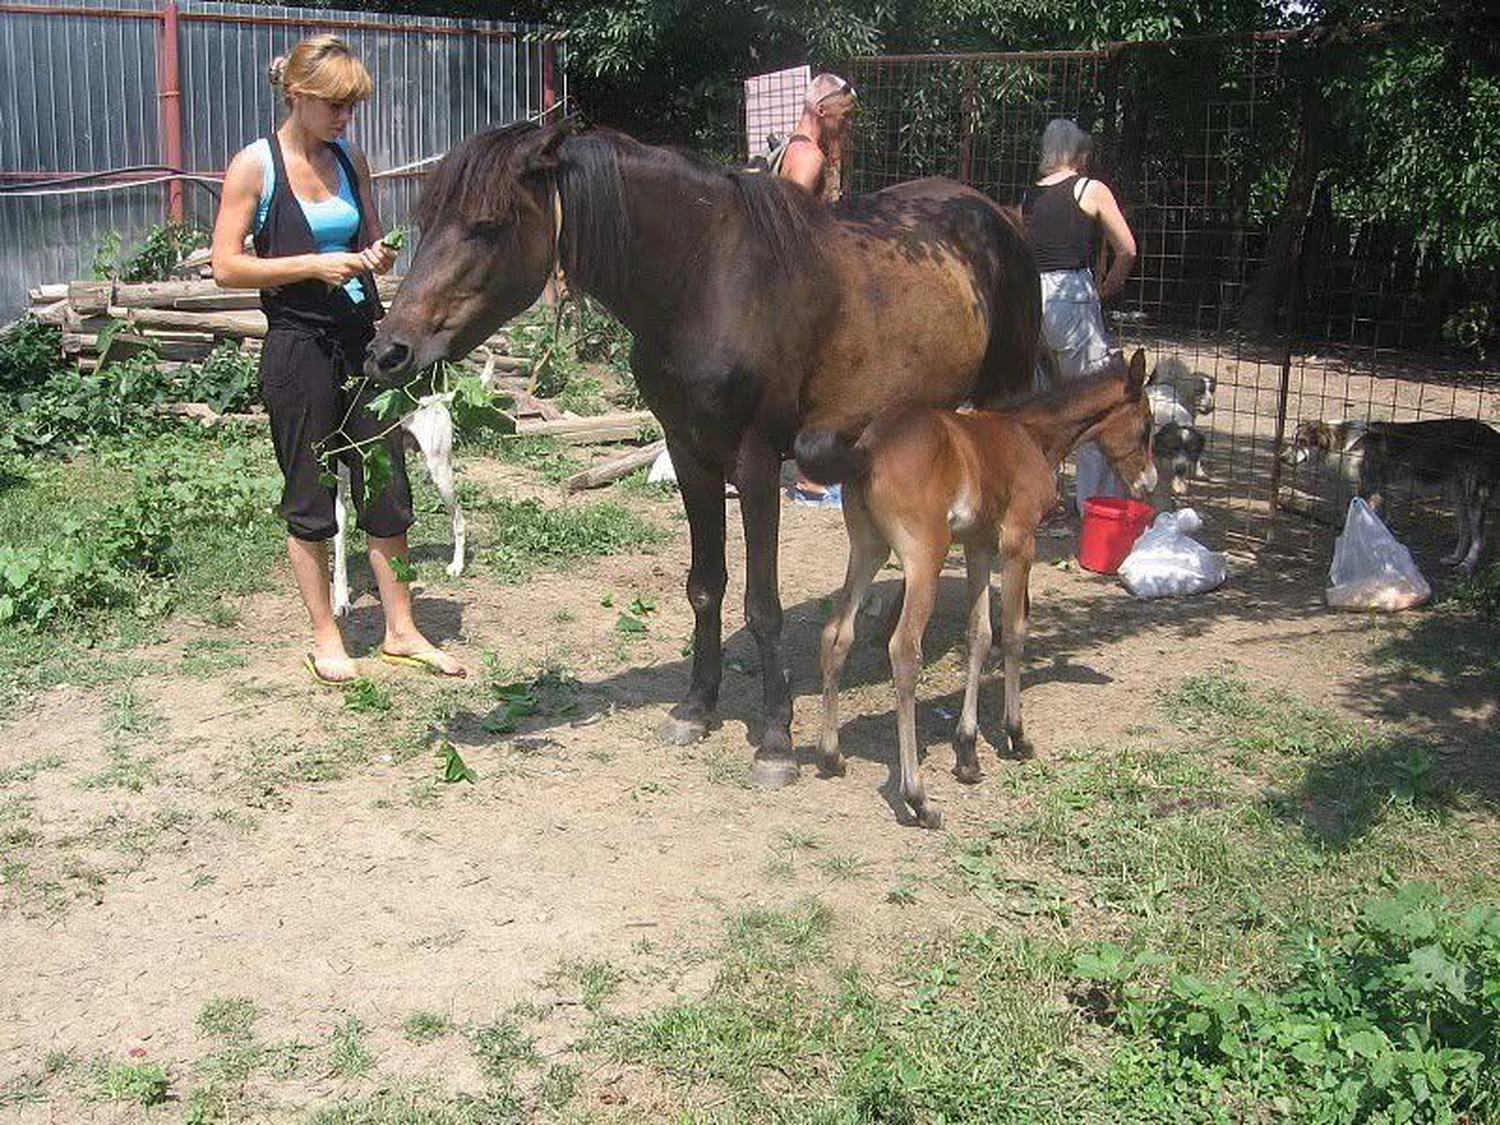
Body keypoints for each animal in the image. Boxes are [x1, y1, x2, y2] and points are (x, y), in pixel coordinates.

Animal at [367, 122, 1041, 789]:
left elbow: (762, 606)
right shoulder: (691, 456)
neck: (705, 282)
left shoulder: (757, 463)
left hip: (1000, 403)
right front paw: (696, 707)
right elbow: (704, 587)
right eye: (427, 219)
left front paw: (775, 740)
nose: (387, 351)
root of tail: (994, 212)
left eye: (486, 225)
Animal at [815, 349, 1156, 828]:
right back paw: (918, 797)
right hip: (926, 557)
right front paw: (1016, 735)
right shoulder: (1018, 542)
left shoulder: (977, 545)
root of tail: (867, 450)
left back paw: (831, 755)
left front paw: (967, 753)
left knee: (837, 633)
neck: (1031, 435)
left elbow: (978, 635)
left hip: (868, 549)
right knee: (904, 649)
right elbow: (1013, 632)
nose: (1149, 482)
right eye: (1146, 426)